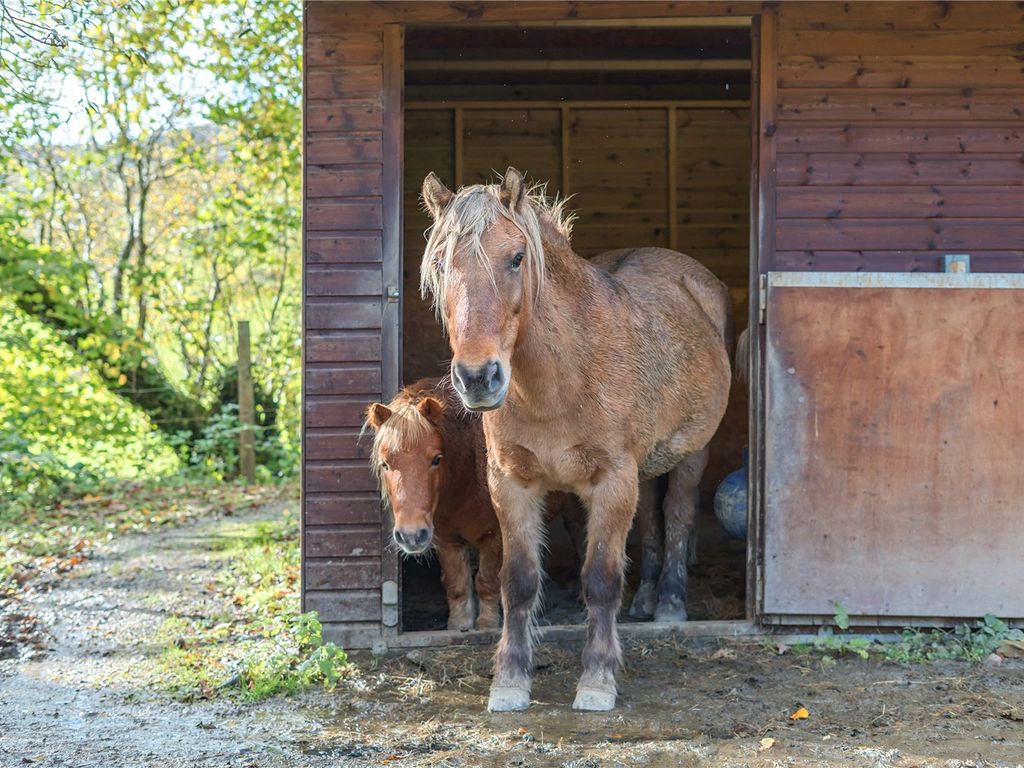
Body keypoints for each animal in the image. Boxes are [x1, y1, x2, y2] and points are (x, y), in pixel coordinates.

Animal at [364, 376, 503, 630]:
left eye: (436, 459)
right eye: (385, 464)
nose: (410, 535)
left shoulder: (495, 535)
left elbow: (487, 581)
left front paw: (487, 624)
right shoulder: (446, 539)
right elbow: (457, 583)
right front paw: (459, 624)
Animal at [419, 167, 733, 716]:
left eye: (516, 258)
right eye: (439, 265)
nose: (478, 378)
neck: (561, 380)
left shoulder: (611, 481)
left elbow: (601, 580)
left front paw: (597, 679)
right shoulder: (512, 484)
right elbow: (518, 582)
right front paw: (509, 680)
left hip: (691, 453)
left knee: (677, 514)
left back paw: (671, 603)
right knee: (651, 520)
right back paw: (646, 599)